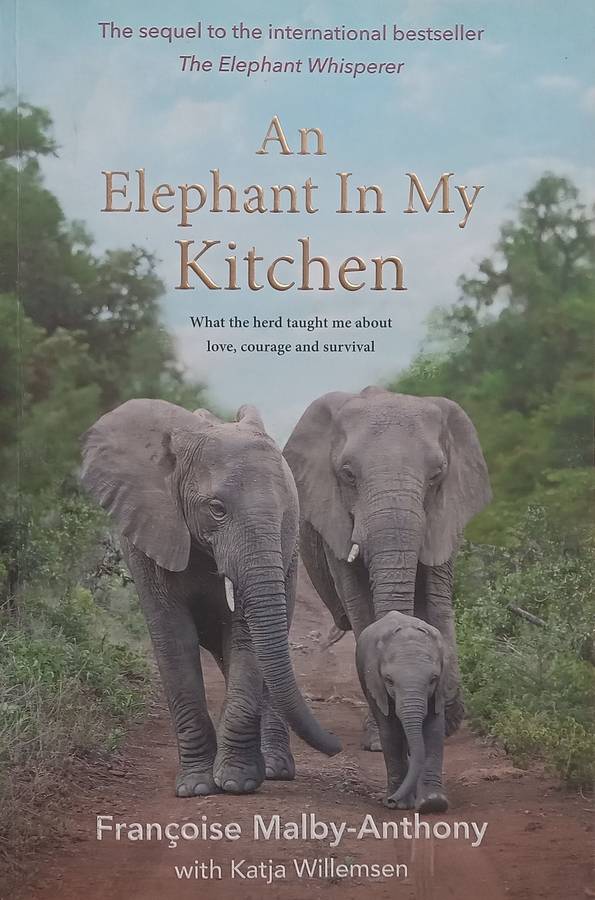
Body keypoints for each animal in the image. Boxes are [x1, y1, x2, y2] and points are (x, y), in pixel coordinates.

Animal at [80, 398, 341, 798]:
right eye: (217, 509)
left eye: (285, 514)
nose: (337, 746)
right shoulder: (148, 537)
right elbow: (174, 641)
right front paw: (196, 788)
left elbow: (245, 638)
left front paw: (236, 782)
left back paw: (275, 769)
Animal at [284, 386, 491, 766]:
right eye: (348, 474)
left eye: (436, 475)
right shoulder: (336, 521)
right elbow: (360, 605)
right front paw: (380, 739)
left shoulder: (444, 514)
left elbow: (438, 602)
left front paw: (445, 719)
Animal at [356, 611, 448, 812]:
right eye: (389, 680)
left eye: (433, 679)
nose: (390, 801)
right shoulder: (376, 684)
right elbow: (391, 733)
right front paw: (400, 805)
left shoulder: (440, 688)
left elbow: (434, 730)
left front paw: (433, 804)